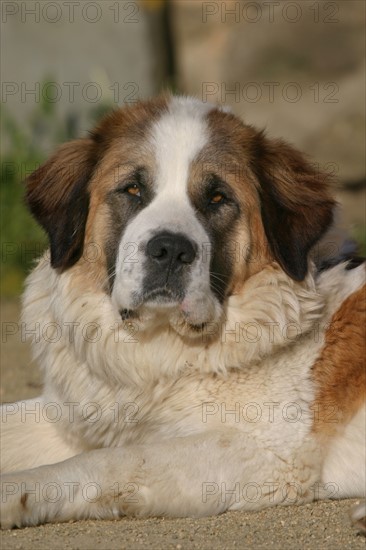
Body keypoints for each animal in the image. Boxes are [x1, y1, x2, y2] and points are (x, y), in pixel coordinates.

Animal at [0, 97, 366, 532]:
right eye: (133, 189)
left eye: (218, 198)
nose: (171, 249)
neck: (165, 352)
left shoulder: (262, 452)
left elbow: (112, 460)